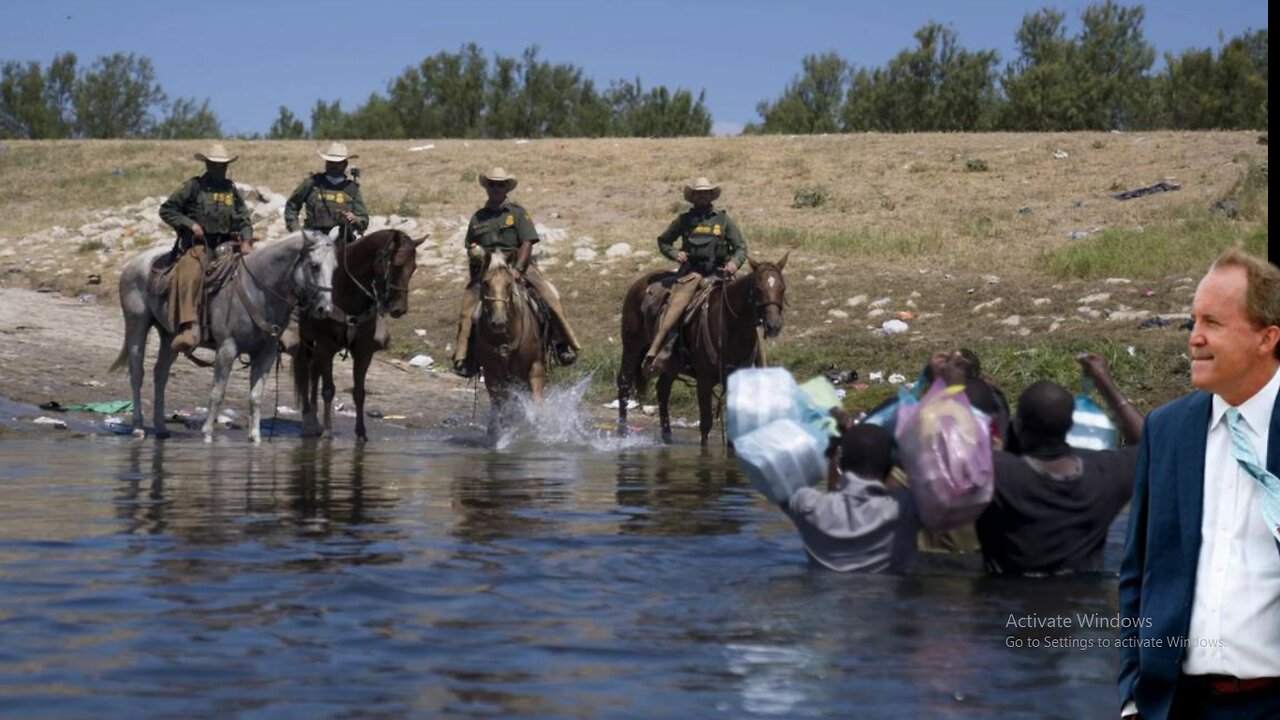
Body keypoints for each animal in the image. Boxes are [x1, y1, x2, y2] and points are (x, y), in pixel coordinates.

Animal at [111, 229, 340, 443]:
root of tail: (133, 262)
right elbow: (217, 392)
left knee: (160, 374)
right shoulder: (227, 349)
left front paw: (255, 438)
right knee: (137, 374)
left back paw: (160, 428)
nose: (325, 309)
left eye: (335, 268)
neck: (258, 290)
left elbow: (256, 396)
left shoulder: (266, 354)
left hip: (169, 336)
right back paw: (138, 427)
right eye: (315, 266)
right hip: (137, 325)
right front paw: (207, 433)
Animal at [293, 226, 427, 440]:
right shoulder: (324, 345)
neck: (345, 288)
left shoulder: (363, 350)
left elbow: (359, 392)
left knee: (314, 373)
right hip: (309, 340)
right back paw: (310, 420)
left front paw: (361, 433)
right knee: (308, 372)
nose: (399, 309)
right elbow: (328, 389)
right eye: (396, 264)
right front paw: (328, 430)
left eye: (413, 268)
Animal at [473, 249, 547, 435]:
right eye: (485, 283)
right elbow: (502, 410)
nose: (498, 323)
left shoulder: (535, 366)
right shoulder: (492, 375)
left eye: (508, 284)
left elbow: (536, 405)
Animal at [614, 252, 783, 443]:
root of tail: (639, 284)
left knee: (662, 390)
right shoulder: (704, 380)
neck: (730, 326)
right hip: (632, 347)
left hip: (670, 365)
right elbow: (706, 424)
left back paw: (667, 436)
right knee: (624, 383)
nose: (774, 325)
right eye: (758, 289)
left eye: (782, 289)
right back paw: (622, 432)